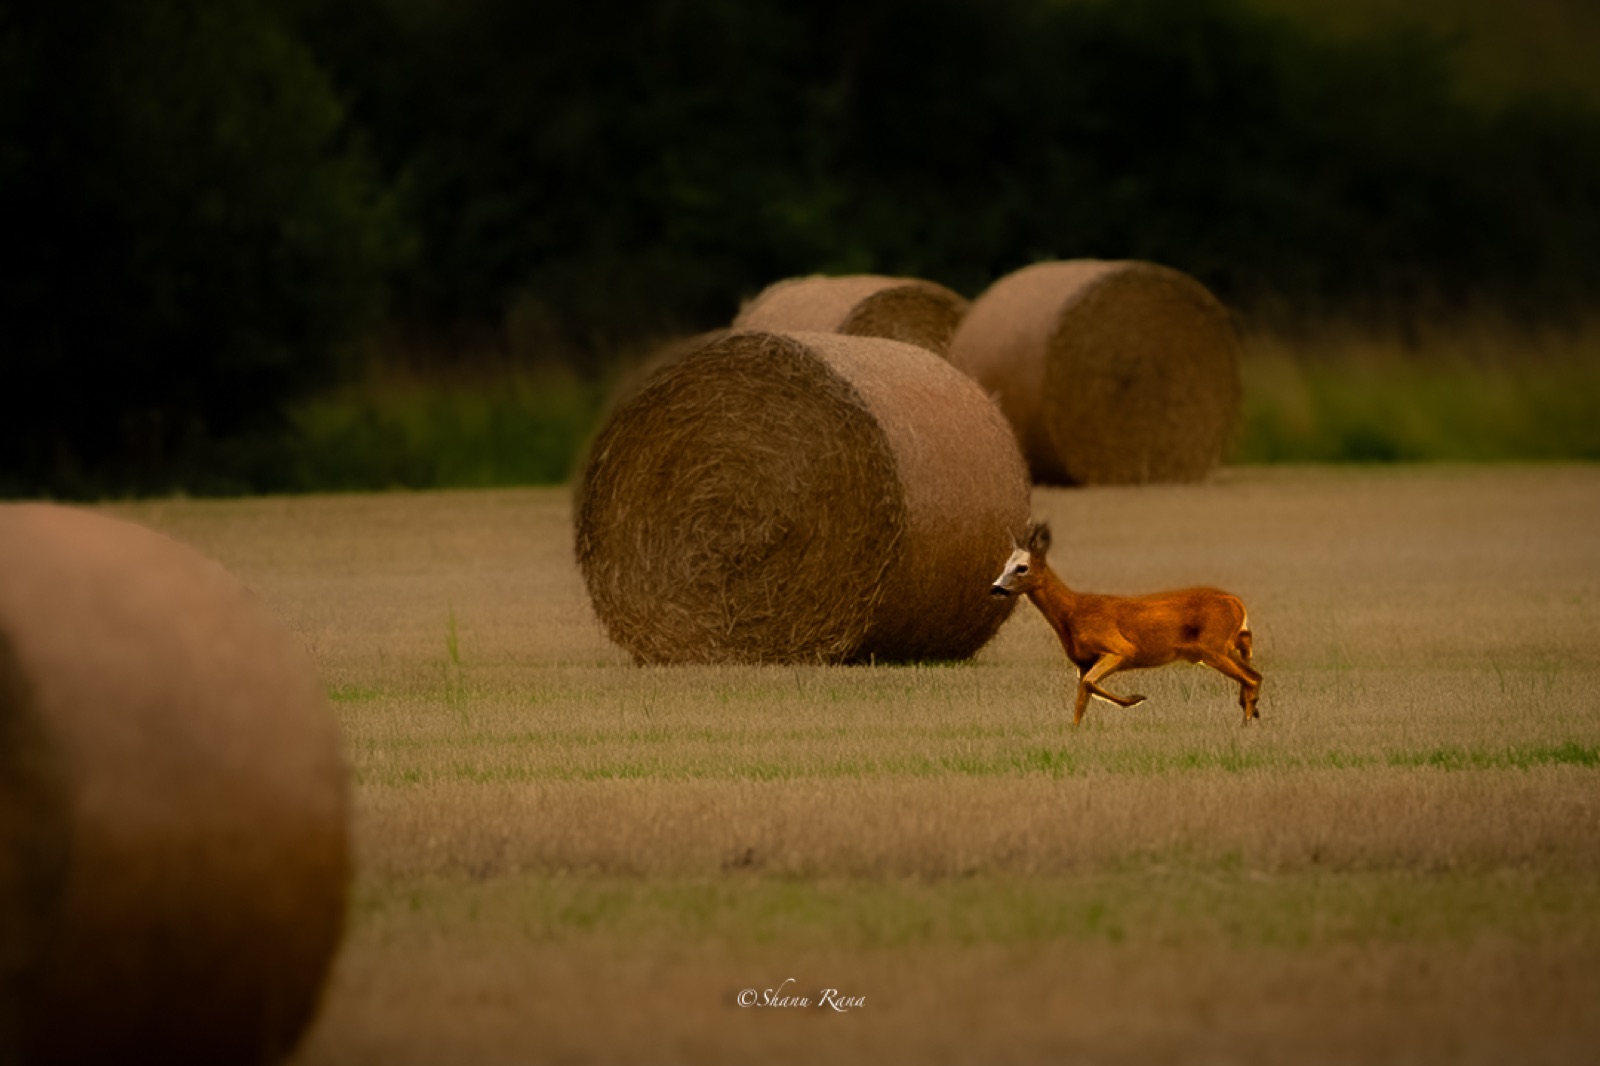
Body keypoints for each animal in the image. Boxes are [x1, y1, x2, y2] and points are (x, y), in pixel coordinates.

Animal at [990, 521, 1262, 725]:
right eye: (1005, 565)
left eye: (1022, 567)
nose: (996, 587)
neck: (1072, 613)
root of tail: (1238, 604)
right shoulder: (1083, 663)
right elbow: (1080, 702)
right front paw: (1075, 730)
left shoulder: (1120, 649)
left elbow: (1089, 685)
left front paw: (1136, 698)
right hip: (1223, 648)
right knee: (1254, 675)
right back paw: (1252, 713)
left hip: (1212, 648)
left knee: (1251, 678)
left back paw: (1247, 723)